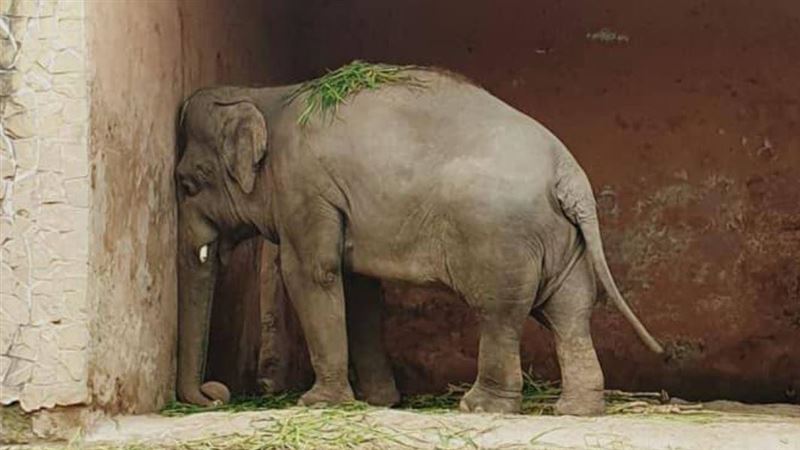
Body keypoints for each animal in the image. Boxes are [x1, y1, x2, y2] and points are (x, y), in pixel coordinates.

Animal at [175, 66, 663, 416]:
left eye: (188, 183)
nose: (215, 392)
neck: (264, 95)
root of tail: (568, 171)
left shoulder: (304, 186)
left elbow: (311, 273)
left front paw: (317, 403)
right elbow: (358, 288)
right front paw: (379, 402)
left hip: (502, 236)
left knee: (500, 313)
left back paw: (480, 407)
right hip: (562, 239)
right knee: (570, 312)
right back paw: (575, 410)